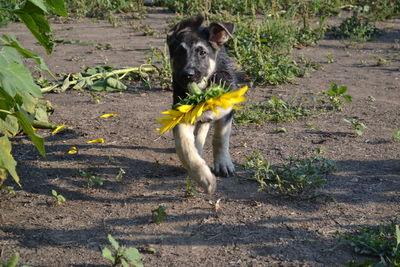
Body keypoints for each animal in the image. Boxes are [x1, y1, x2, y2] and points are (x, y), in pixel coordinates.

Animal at [166, 14, 238, 194]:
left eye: (202, 52)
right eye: (179, 53)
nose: (188, 75)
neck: (201, 93)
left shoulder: (227, 110)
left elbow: (220, 137)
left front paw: (222, 164)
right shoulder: (181, 116)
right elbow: (184, 146)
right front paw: (204, 178)